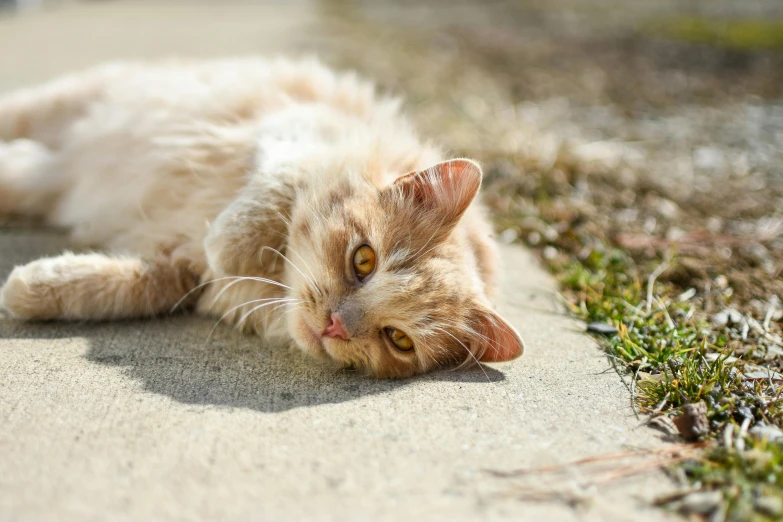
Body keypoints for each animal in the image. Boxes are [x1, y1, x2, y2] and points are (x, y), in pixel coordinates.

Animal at [1, 57, 528, 376]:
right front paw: (228, 246)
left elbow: (117, 288)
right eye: (363, 260)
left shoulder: (176, 271)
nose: (336, 325)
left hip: (49, 173)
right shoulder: (293, 129)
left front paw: (31, 289)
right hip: (59, 105)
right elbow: (274, 194)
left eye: (398, 339)